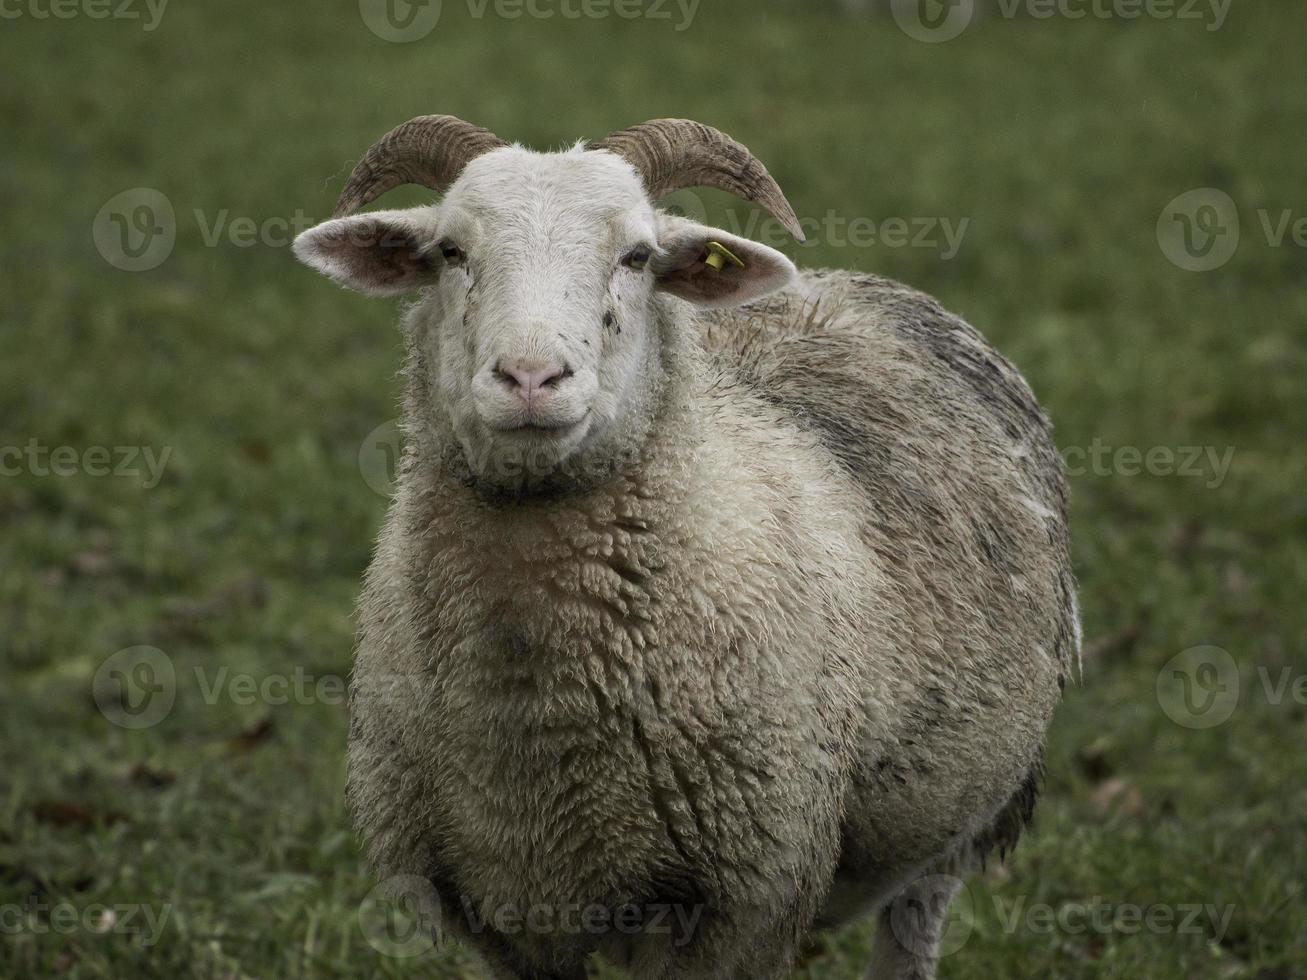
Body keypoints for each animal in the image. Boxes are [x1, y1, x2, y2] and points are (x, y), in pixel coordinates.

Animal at [294, 116, 1071, 980]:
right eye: (450, 251)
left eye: (636, 257)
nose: (530, 378)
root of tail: (846, 279)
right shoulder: (502, 911)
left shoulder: (746, 898)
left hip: (958, 821)